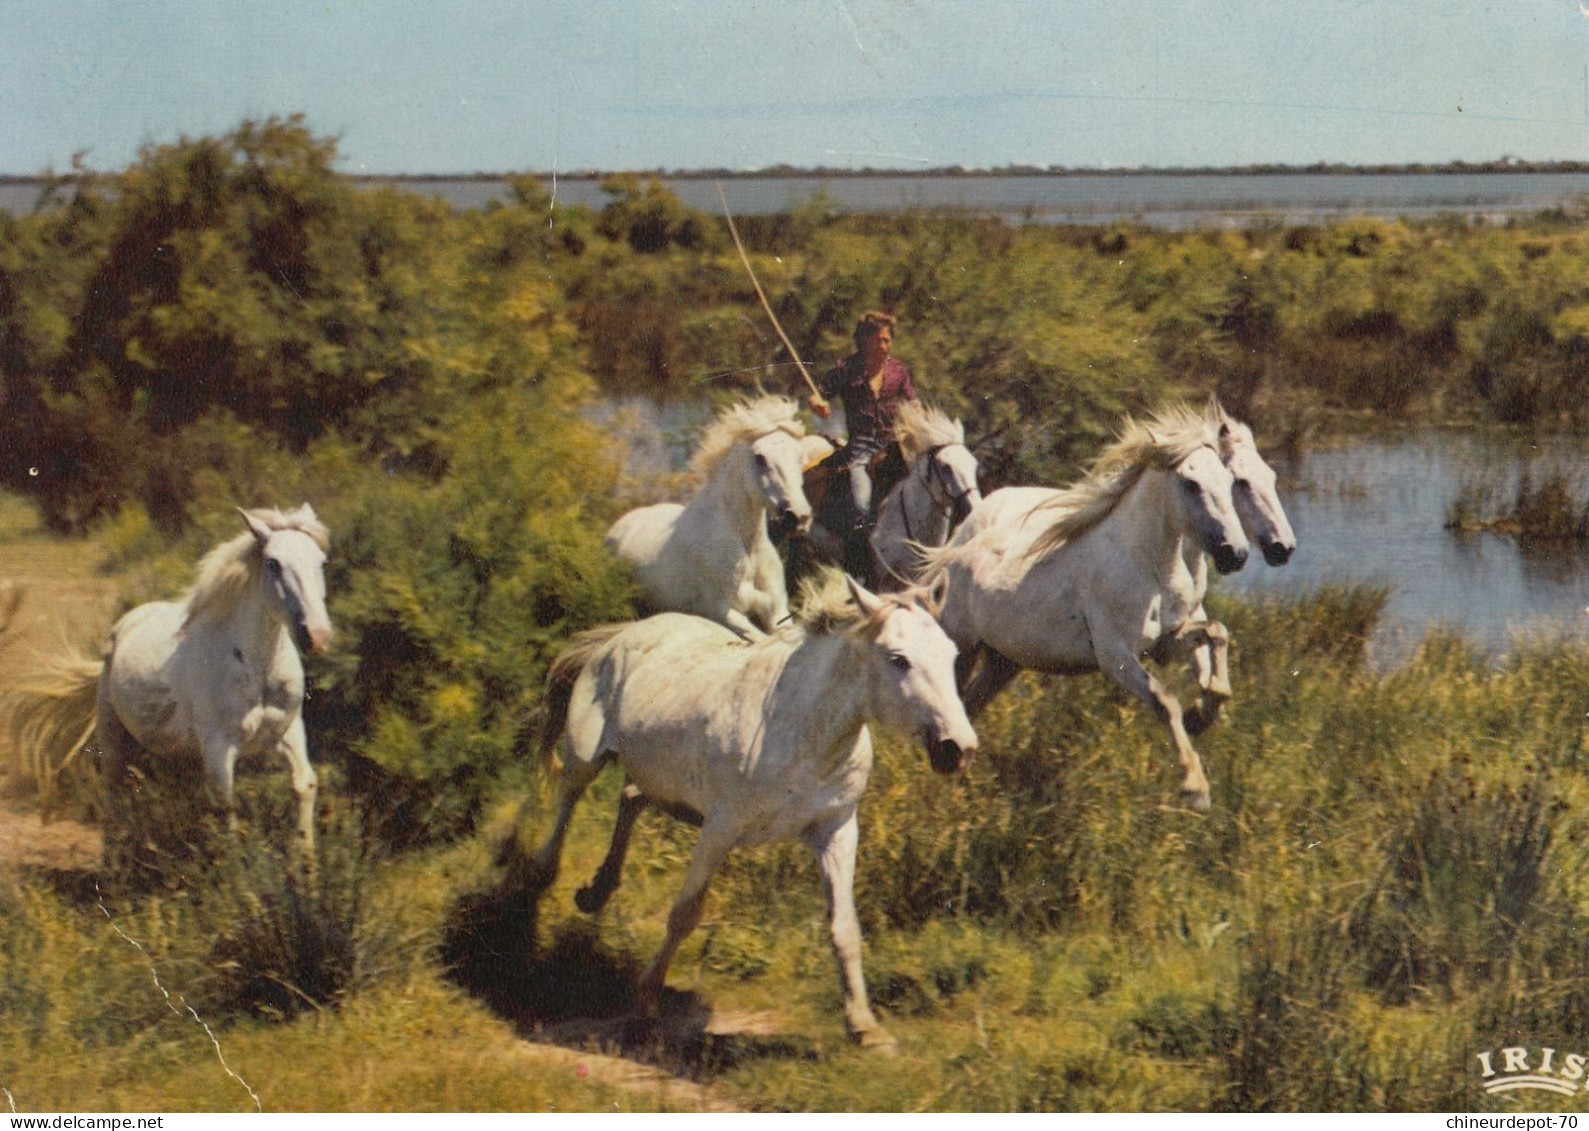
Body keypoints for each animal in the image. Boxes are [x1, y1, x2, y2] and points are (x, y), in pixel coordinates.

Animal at [2, 508, 332, 851]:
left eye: (322, 562)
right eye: (273, 563)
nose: (317, 636)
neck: (255, 670)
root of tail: (124, 625)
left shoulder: (288, 733)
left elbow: (304, 787)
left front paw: (307, 864)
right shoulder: (219, 748)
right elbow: (226, 809)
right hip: (112, 738)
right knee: (112, 798)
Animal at [514, 575, 972, 1048]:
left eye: (951, 655)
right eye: (898, 659)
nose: (958, 748)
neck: (801, 729)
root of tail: (623, 634)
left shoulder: (836, 830)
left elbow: (844, 927)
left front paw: (865, 1027)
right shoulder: (720, 828)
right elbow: (684, 914)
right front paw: (644, 1009)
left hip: (663, 784)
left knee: (630, 798)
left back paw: (597, 890)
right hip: (588, 755)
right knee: (570, 797)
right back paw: (540, 876)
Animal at [600, 397, 813, 641]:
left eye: (799, 456)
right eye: (760, 458)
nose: (798, 517)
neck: (746, 546)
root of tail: (618, 527)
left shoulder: (777, 611)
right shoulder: (723, 612)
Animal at [921, 406, 1252, 813]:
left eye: (1229, 480)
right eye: (1191, 484)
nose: (1235, 554)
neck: (1148, 565)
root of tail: (952, 556)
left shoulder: (1166, 642)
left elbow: (1217, 634)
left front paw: (1202, 715)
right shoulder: (1115, 658)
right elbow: (1164, 701)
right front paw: (1195, 787)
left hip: (1003, 663)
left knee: (969, 709)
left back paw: (962, 786)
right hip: (964, 649)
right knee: (951, 708)